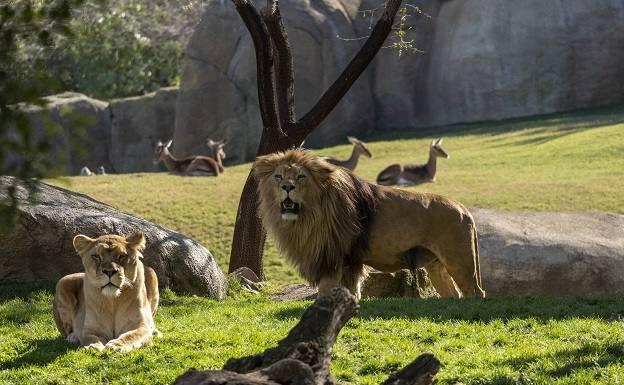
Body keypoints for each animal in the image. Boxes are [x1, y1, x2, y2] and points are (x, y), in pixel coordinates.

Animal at [255, 148, 488, 298]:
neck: (308, 216)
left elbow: (326, 292)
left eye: (301, 176)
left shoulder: (334, 258)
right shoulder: (347, 261)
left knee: (475, 292)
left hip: (460, 260)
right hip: (435, 265)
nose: (287, 187)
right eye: (278, 176)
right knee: (454, 295)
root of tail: (464, 209)